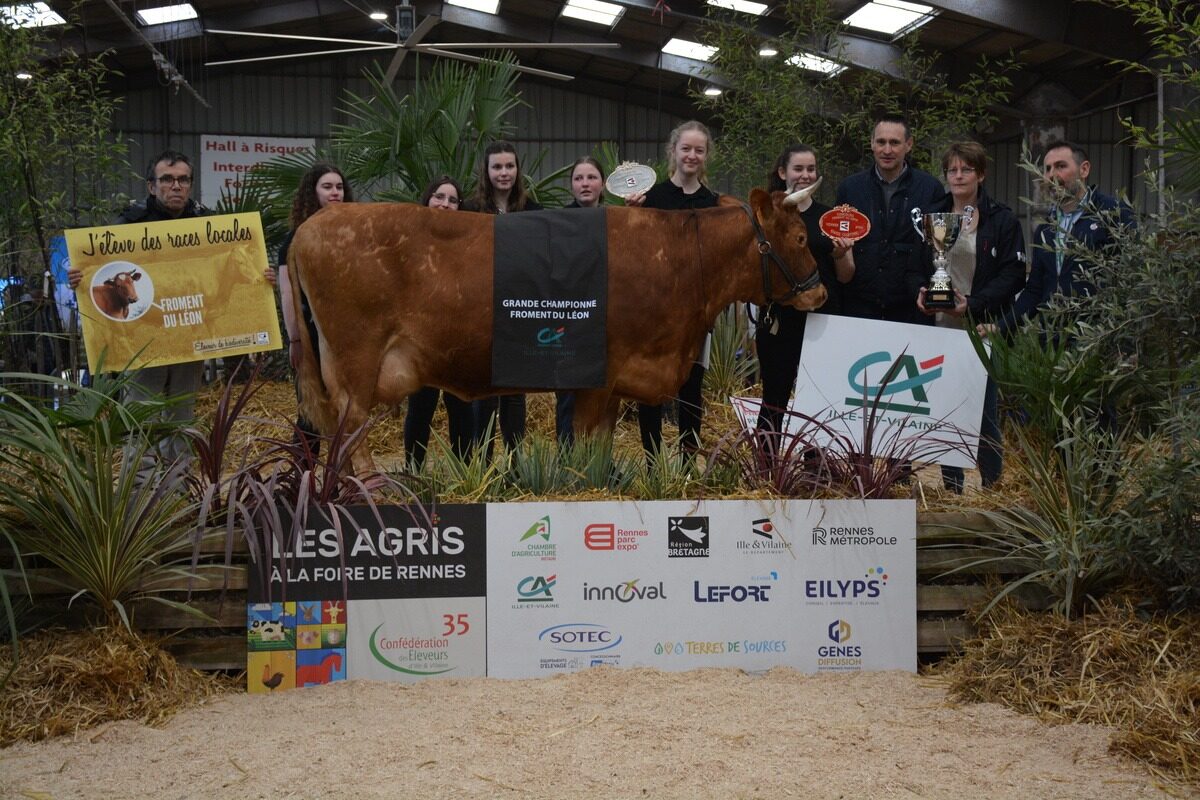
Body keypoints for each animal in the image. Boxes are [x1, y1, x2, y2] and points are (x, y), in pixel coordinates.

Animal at [292, 187, 825, 462]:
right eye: (801, 237)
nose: (820, 292)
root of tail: (314, 224)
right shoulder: (599, 375)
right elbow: (586, 441)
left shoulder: (620, 381)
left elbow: (602, 442)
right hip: (356, 360)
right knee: (349, 430)